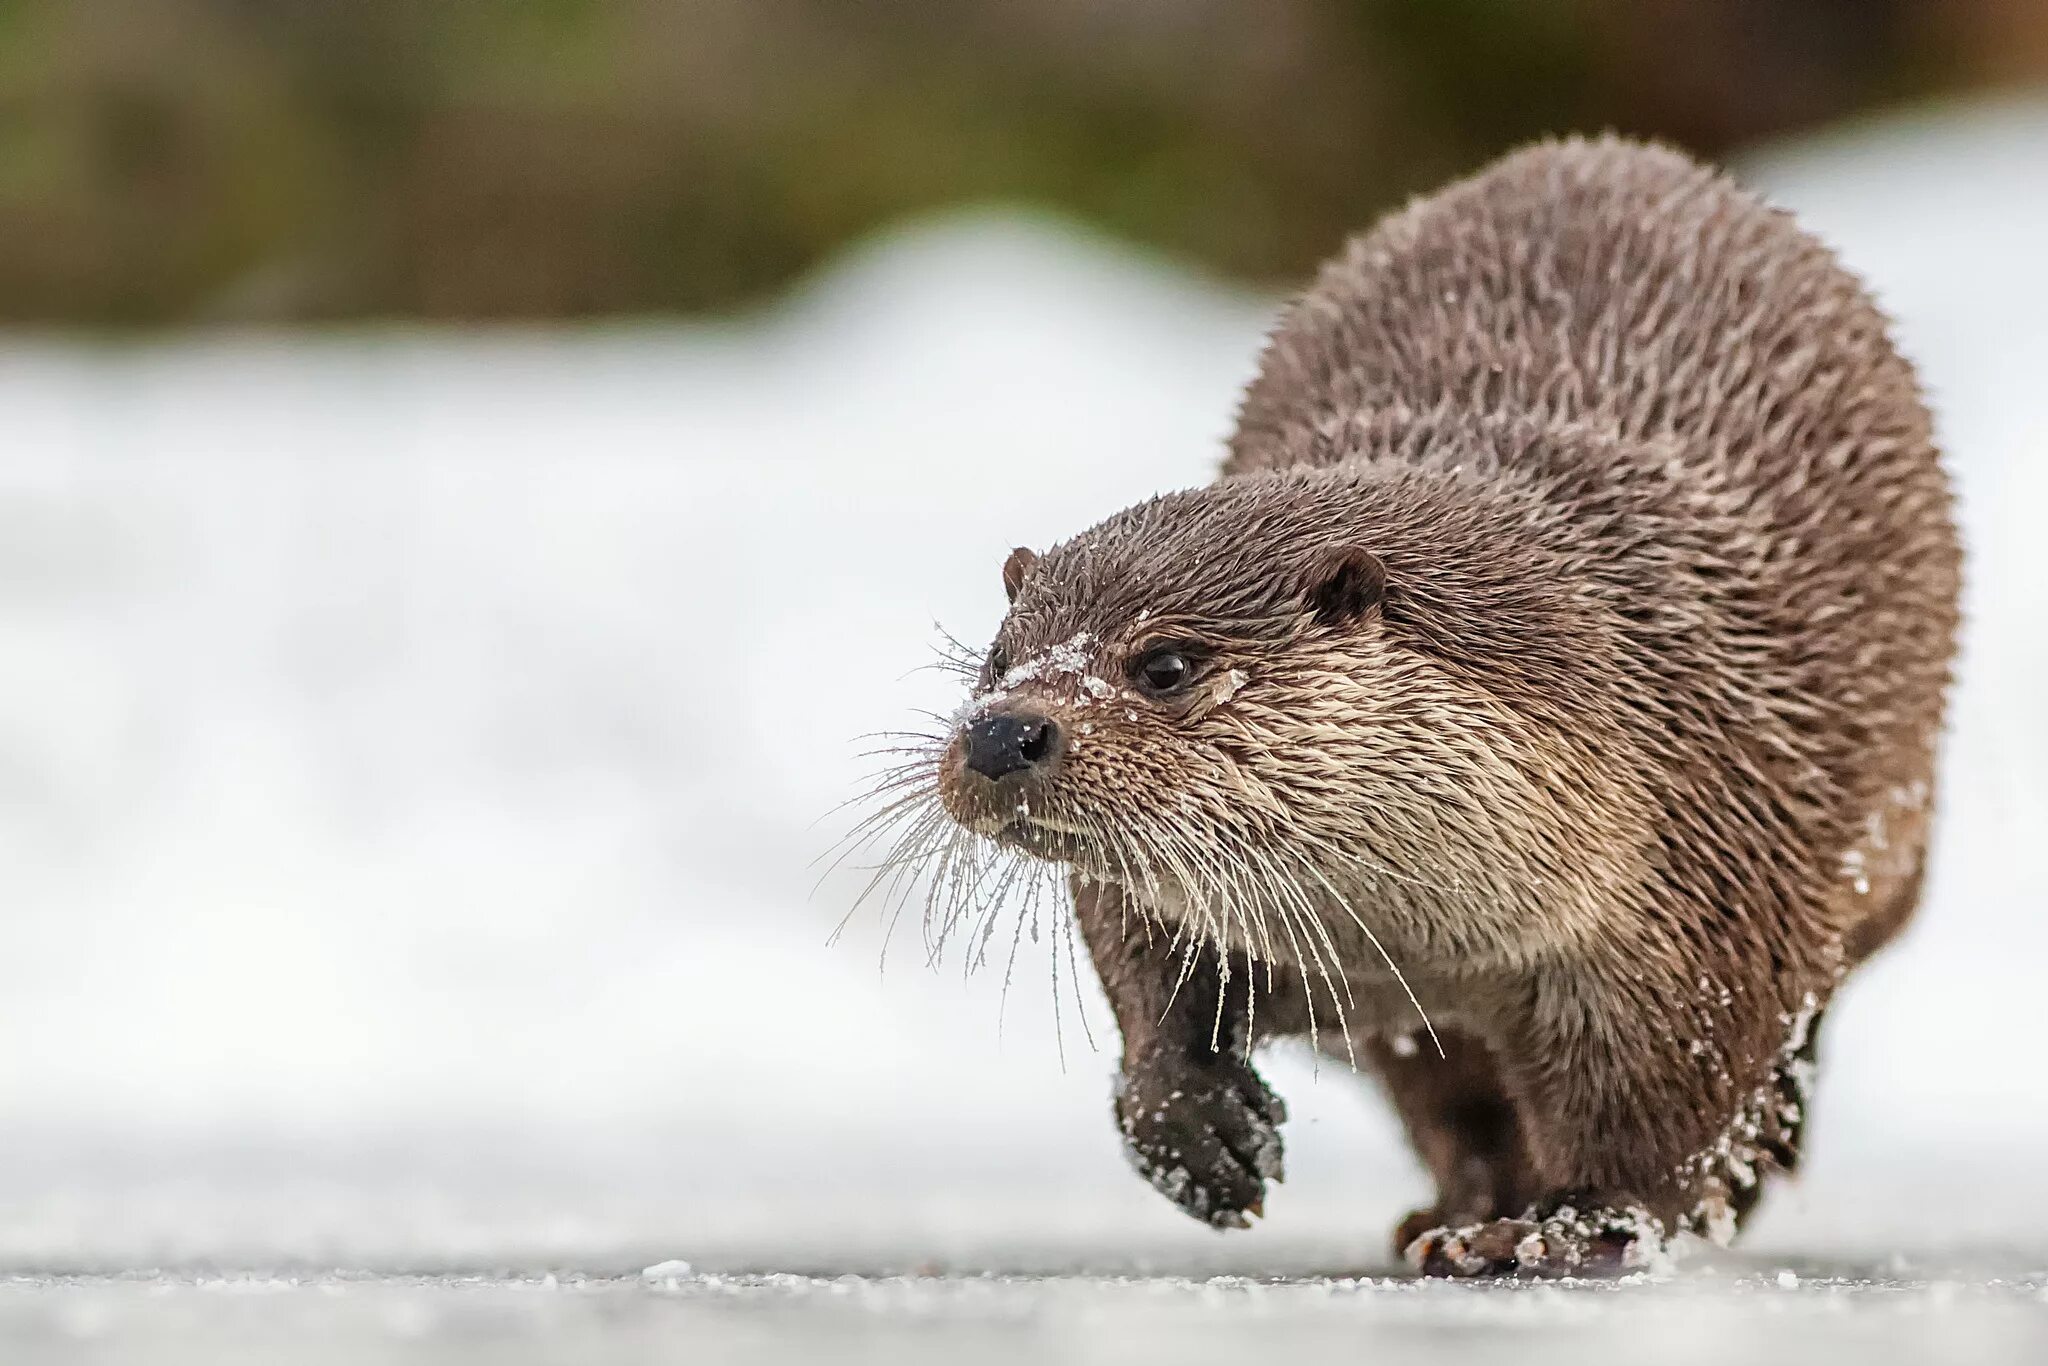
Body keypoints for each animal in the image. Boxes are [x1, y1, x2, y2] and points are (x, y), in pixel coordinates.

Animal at [905, 136, 1957, 1269]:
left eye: (1167, 666)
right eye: (996, 658)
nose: (1001, 733)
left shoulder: (1706, 873)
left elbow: (1664, 1104)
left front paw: (1571, 1225)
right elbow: (1142, 959)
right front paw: (1190, 1123)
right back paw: (1446, 1209)